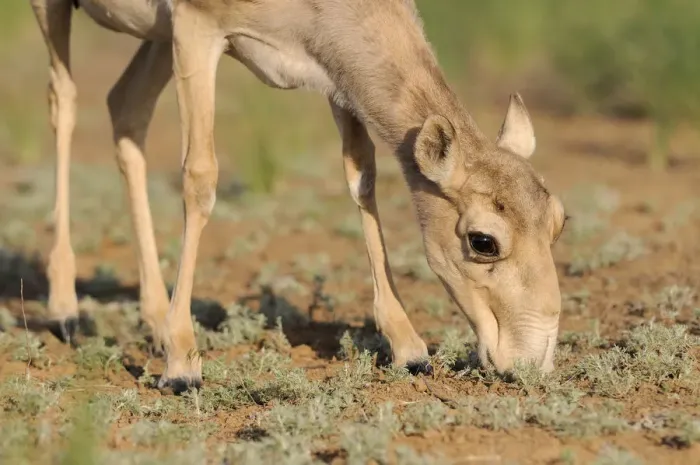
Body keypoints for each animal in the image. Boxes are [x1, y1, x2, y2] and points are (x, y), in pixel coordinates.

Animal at [29, 0, 566, 393]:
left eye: (559, 221)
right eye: (483, 241)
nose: (534, 362)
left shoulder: (334, 78)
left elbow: (362, 177)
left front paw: (409, 348)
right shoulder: (196, 28)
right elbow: (200, 176)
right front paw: (182, 364)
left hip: (158, 40)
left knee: (126, 108)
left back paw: (156, 320)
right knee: (63, 100)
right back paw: (66, 309)